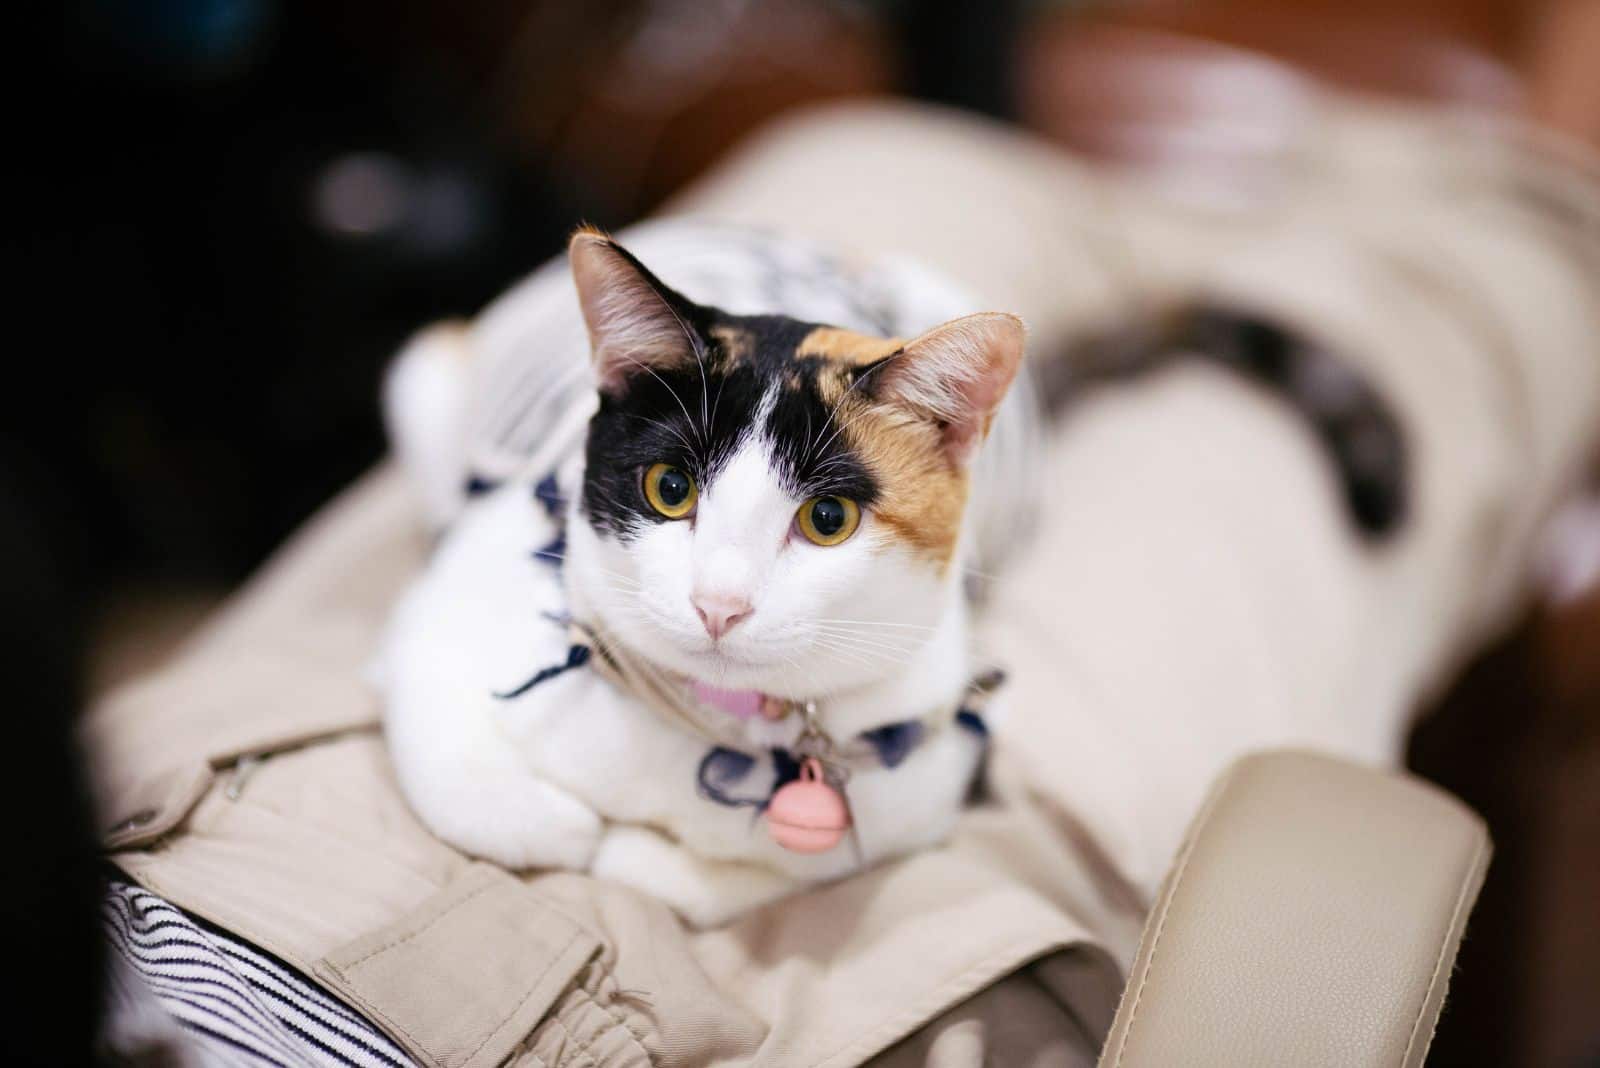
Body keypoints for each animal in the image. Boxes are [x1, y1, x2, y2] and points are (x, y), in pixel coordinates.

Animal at [382, 220, 1036, 920]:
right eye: (670, 487)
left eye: (828, 518)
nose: (719, 604)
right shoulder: (454, 593)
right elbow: (454, 760)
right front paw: (565, 827)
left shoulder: (929, 767)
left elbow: (773, 872)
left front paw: (634, 854)